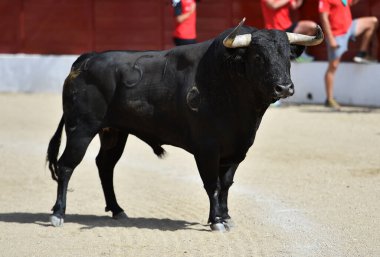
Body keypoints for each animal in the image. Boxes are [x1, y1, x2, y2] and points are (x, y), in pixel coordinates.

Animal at [46, 19, 322, 229]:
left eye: (288, 56)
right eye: (257, 56)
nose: (284, 87)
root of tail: (85, 60)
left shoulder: (237, 149)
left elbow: (226, 184)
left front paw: (225, 216)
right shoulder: (207, 148)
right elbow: (212, 184)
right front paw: (216, 221)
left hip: (114, 132)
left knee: (105, 165)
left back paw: (117, 210)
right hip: (81, 129)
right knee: (66, 165)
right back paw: (58, 214)